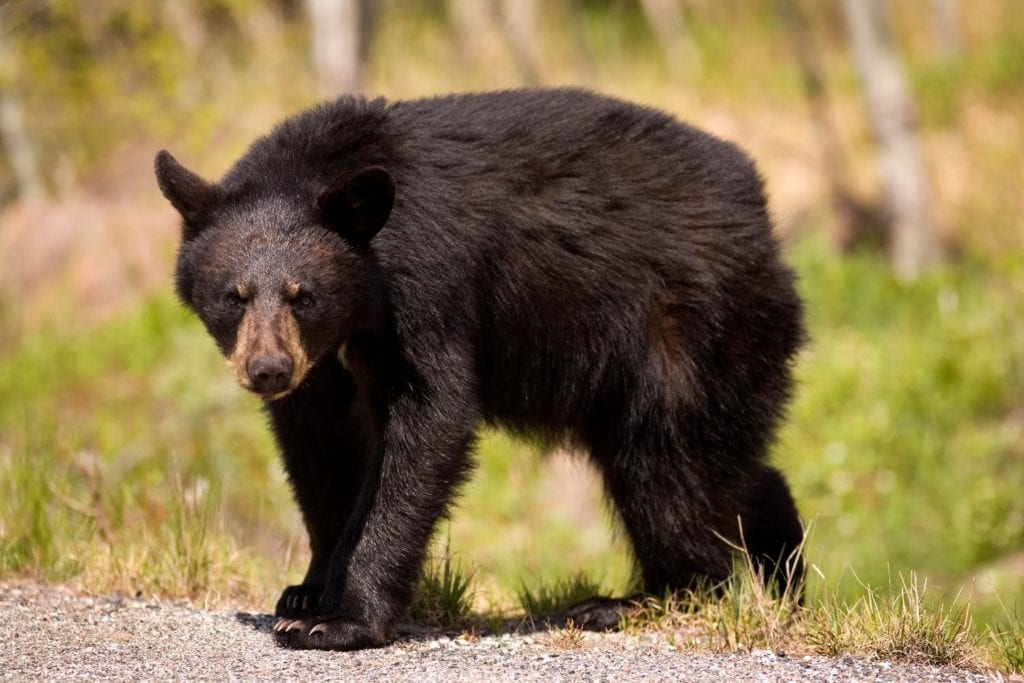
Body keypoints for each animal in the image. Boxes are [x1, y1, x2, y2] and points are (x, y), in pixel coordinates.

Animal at [154, 88, 805, 651]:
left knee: (667, 470)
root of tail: (766, 226)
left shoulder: (426, 285)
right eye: (234, 295)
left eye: (303, 295)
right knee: (724, 469)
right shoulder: (320, 367)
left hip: (689, 332)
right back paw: (783, 571)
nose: (268, 369)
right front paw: (306, 594)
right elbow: (320, 449)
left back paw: (633, 600)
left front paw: (342, 621)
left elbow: (429, 420)